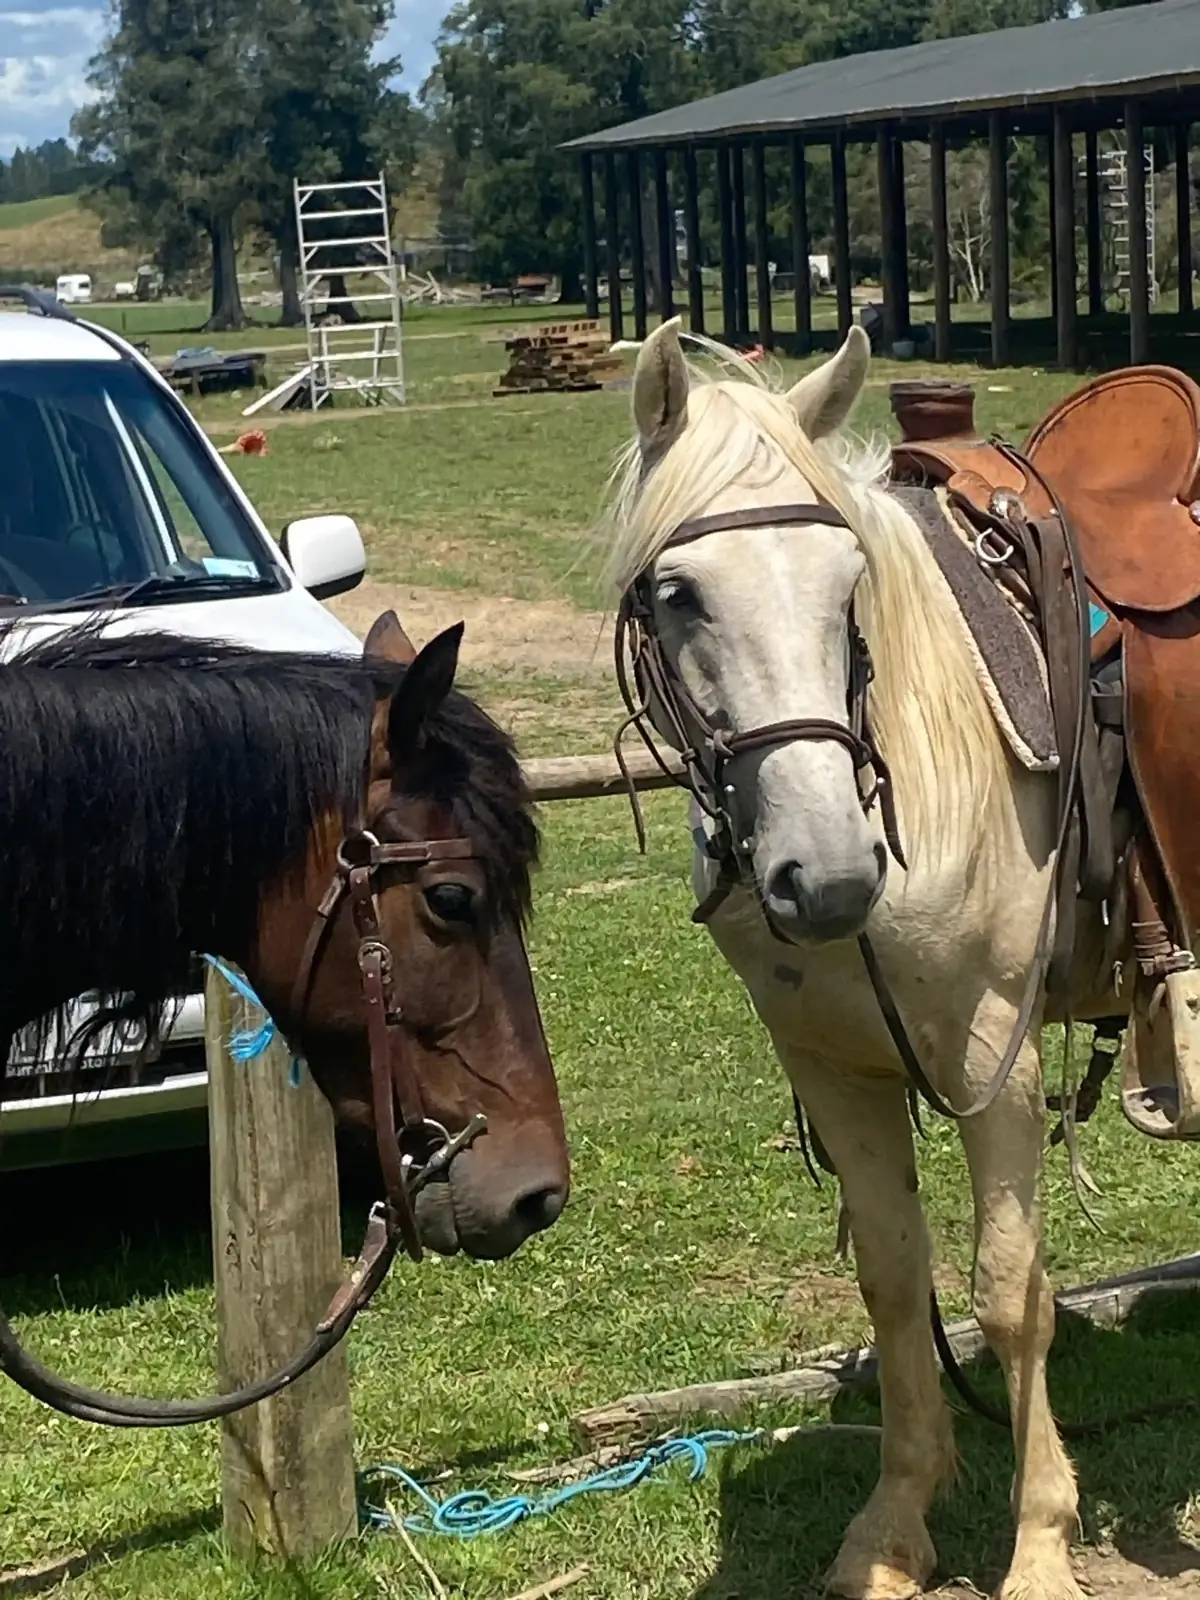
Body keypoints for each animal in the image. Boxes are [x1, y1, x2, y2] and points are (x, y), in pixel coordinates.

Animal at [599, 319, 1125, 1600]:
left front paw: (1042, 1542)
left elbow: (1010, 1292)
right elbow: (894, 1281)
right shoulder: (835, 1070)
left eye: (850, 589)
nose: (829, 874)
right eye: (679, 594)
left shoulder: (996, 1058)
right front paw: (895, 1524)